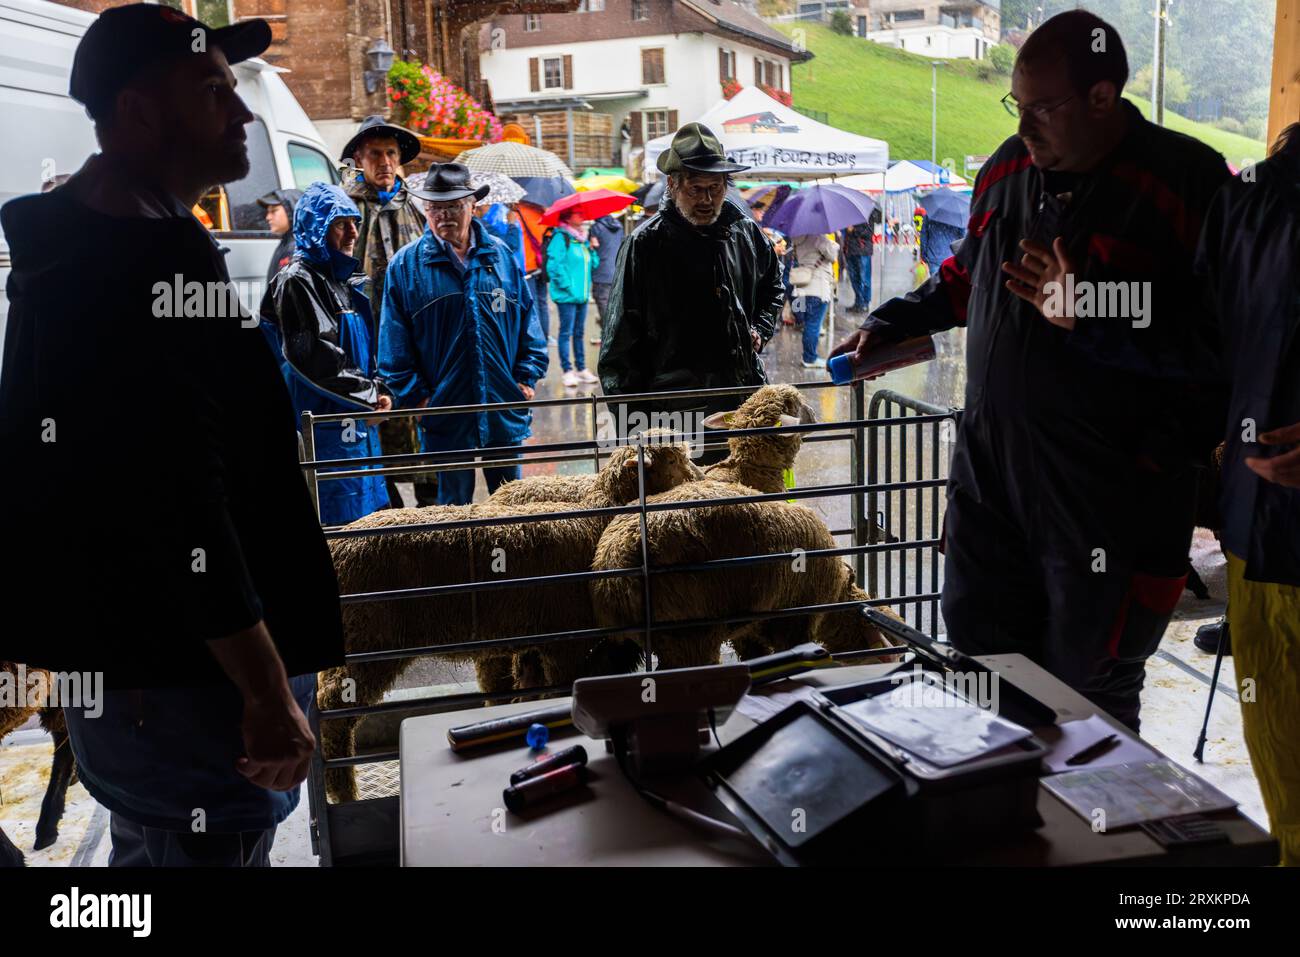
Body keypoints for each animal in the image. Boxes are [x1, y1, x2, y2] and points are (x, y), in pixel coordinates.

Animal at [318, 436, 696, 806]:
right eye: (672, 460)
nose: (700, 479)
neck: (595, 515)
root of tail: (337, 548)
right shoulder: (565, 641)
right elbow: (560, 689)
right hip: (370, 639)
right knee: (334, 710)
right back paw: (343, 791)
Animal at [587, 478, 894, 670]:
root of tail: (620, 554)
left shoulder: (750, 626)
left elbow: (755, 654)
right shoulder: (795, 618)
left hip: (627, 636)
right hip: (689, 633)